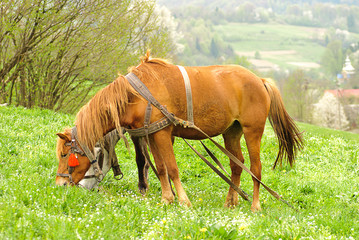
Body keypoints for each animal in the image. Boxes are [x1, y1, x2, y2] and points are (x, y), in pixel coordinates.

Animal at [56, 53, 304, 212]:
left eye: (65, 155)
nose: (60, 185)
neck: (135, 94)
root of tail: (259, 80)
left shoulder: (163, 134)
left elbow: (173, 168)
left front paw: (183, 201)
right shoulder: (151, 135)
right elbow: (161, 168)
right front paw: (167, 199)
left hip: (253, 131)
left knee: (255, 169)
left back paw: (255, 205)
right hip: (231, 132)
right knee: (236, 165)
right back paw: (231, 201)